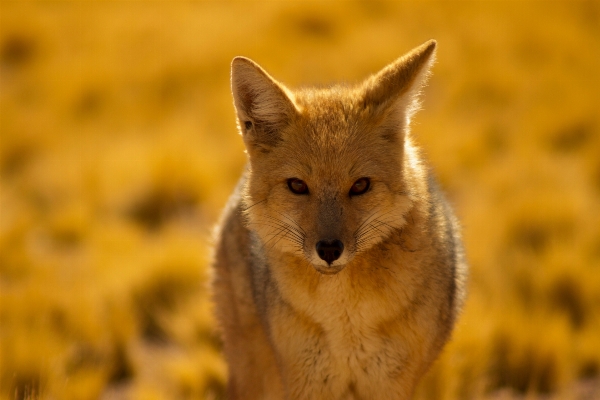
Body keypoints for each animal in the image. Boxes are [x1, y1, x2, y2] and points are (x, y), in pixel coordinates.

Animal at [211, 41, 468, 400]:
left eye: (360, 186)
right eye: (297, 186)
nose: (330, 250)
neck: (346, 322)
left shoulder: (390, 385)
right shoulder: (306, 383)